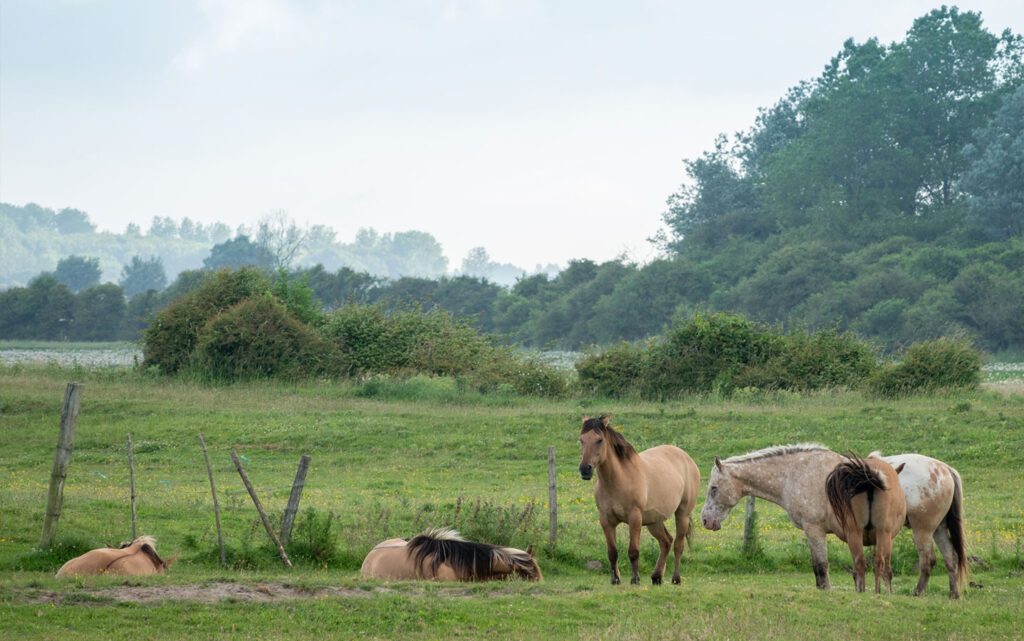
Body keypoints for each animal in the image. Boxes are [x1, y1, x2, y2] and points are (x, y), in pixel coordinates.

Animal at [578, 415, 700, 585]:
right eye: (581, 439)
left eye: (599, 440)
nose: (585, 469)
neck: (618, 480)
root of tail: (687, 459)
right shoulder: (606, 520)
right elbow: (612, 552)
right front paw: (615, 579)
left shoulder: (634, 518)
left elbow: (633, 551)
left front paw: (635, 579)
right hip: (654, 521)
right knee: (666, 542)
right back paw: (657, 577)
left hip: (682, 515)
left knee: (678, 545)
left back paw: (676, 579)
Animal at [826, 453, 906, 593]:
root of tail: (869, 480)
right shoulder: (889, 539)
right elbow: (887, 569)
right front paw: (889, 591)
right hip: (883, 532)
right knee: (879, 562)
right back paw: (877, 591)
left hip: (854, 532)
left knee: (860, 563)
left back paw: (861, 591)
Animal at [872, 451, 968, 599]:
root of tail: (946, 469)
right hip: (938, 529)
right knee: (951, 558)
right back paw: (953, 594)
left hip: (922, 530)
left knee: (928, 560)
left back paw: (918, 592)